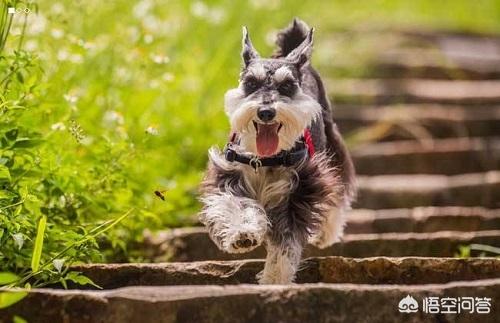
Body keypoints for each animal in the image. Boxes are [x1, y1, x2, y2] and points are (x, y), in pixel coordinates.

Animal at [199, 19, 356, 284]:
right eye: (251, 83)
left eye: (287, 86)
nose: (266, 112)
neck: (265, 159)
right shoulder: (229, 176)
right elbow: (236, 205)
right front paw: (242, 233)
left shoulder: (299, 191)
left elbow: (286, 243)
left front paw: (275, 278)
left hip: (332, 145)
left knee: (339, 186)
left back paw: (327, 233)